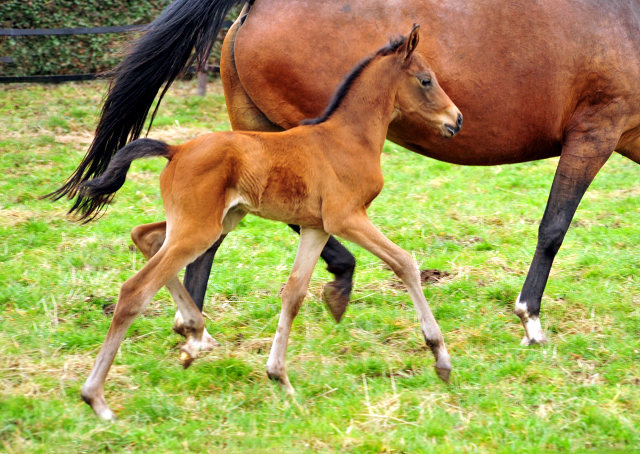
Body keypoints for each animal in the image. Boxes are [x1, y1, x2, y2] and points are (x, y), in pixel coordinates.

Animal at [51, 0, 640, 346]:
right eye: (426, 80)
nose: (457, 119)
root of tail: (253, 6)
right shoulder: (596, 130)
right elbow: (553, 228)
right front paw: (530, 318)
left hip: (253, 139)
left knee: (215, 233)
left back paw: (196, 325)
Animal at [79, 25, 460, 422]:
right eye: (426, 80)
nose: (457, 119)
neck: (347, 138)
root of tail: (176, 149)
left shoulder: (317, 227)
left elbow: (294, 293)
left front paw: (279, 377)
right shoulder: (346, 218)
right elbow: (404, 262)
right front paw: (440, 357)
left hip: (213, 220)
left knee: (145, 236)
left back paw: (196, 334)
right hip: (200, 228)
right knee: (135, 290)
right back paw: (97, 399)